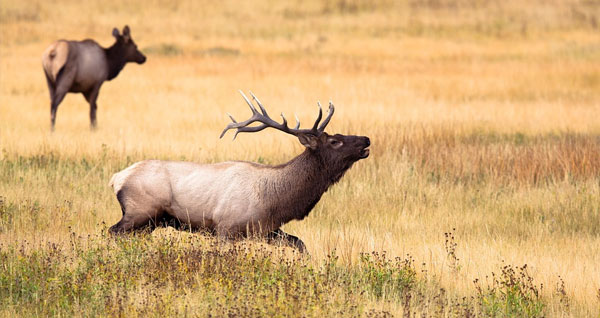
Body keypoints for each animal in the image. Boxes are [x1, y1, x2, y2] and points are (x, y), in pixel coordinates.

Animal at [108, 91, 370, 251]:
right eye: (335, 141)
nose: (366, 139)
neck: (275, 200)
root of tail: (116, 179)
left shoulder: (267, 230)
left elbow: (301, 245)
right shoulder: (225, 228)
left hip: (150, 223)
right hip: (140, 211)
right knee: (112, 231)